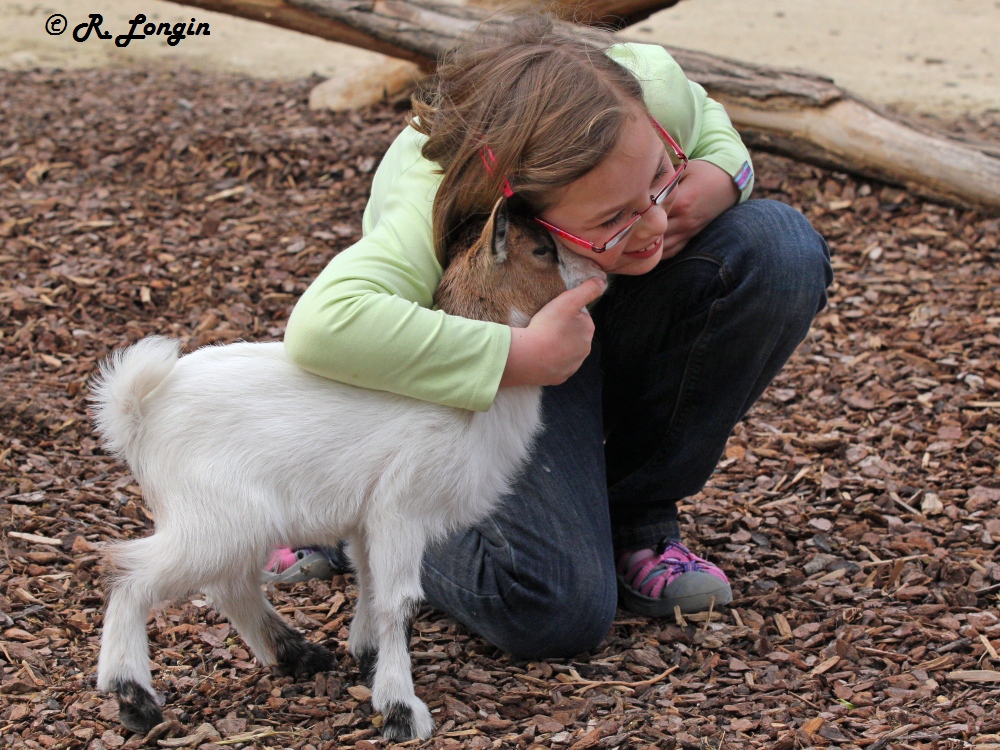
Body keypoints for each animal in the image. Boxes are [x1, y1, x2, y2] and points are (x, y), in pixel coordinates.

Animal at [90, 197, 604, 744]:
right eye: (541, 250)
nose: (597, 273)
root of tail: (138, 412)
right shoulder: (400, 508)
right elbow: (400, 601)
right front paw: (401, 709)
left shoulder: (367, 517)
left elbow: (369, 580)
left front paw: (367, 656)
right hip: (214, 518)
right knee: (129, 574)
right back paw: (134, 699)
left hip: (231, 522)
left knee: (227, 584)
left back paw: (295, 655)